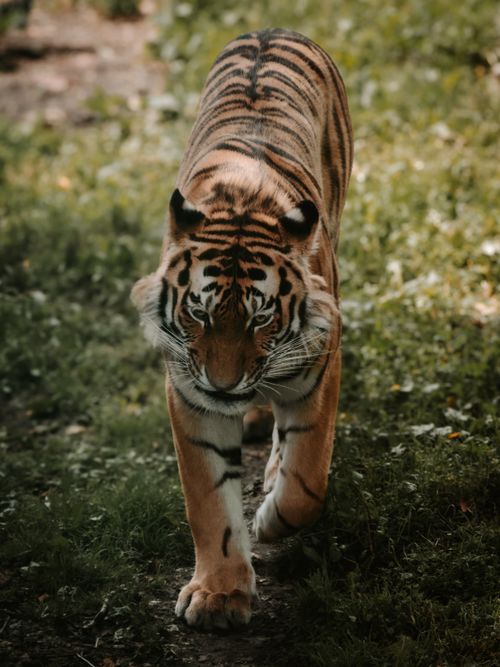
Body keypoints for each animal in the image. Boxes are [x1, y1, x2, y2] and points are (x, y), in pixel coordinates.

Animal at [131, 28, 353, 630]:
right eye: (199, 312)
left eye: (260, 317)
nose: (225, 385)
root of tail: (273, 29)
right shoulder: (190, 395)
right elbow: (209, 505)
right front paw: (219, 595)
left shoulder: (320, 364)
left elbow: (307, 480)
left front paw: (272, 518)